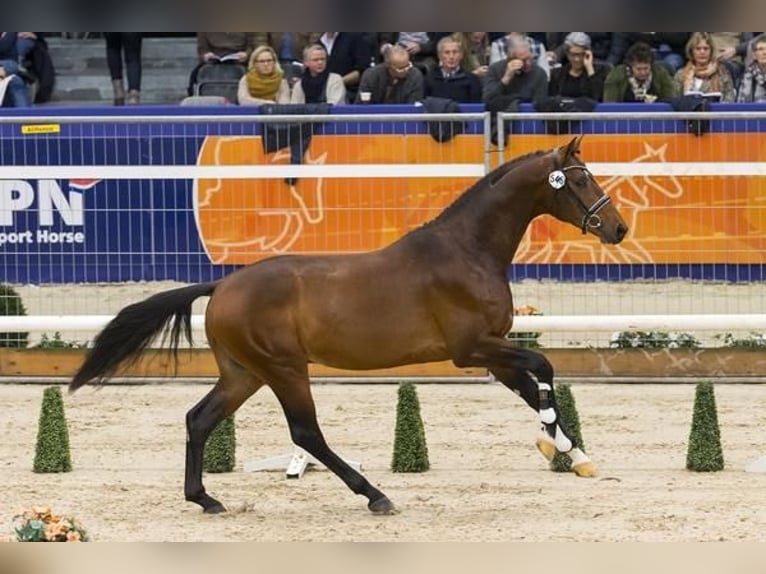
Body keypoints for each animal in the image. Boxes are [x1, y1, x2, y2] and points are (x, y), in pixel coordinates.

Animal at [69, 135, 628, 516]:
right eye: (580, 179)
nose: (619, 229)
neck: (467, 251)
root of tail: (222, 285)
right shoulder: (473, 348)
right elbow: (544, 366)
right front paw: (557, 444)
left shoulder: (491, 350)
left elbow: (533, 387)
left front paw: (573, 453)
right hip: (284, 369)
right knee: (306, 433)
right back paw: (375, 495)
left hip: (244, 373)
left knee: (199, 419)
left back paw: (205, 498)